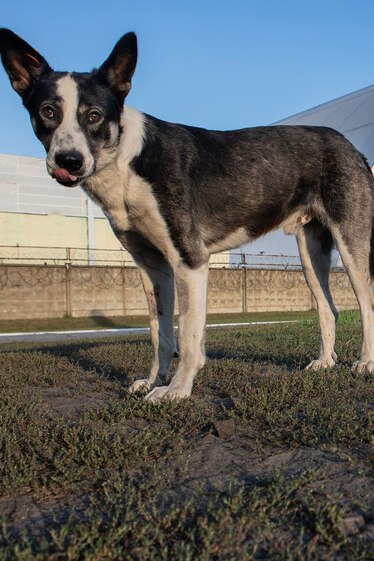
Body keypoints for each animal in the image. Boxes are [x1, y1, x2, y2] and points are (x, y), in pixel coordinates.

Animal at [0, 30, 374, 400]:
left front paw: (177, 390)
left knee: (366, 302)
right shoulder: (152, 267)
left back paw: (366, 363)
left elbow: (188, 334)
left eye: (93, 116)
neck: (129, 159)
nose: (69, 160)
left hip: (352, 244)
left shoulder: (189, 259)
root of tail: (348, 145)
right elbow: (160, 334)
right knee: (328, 309)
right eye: (48, 111)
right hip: (310, 253)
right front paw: (154, 379)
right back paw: (325, 362)